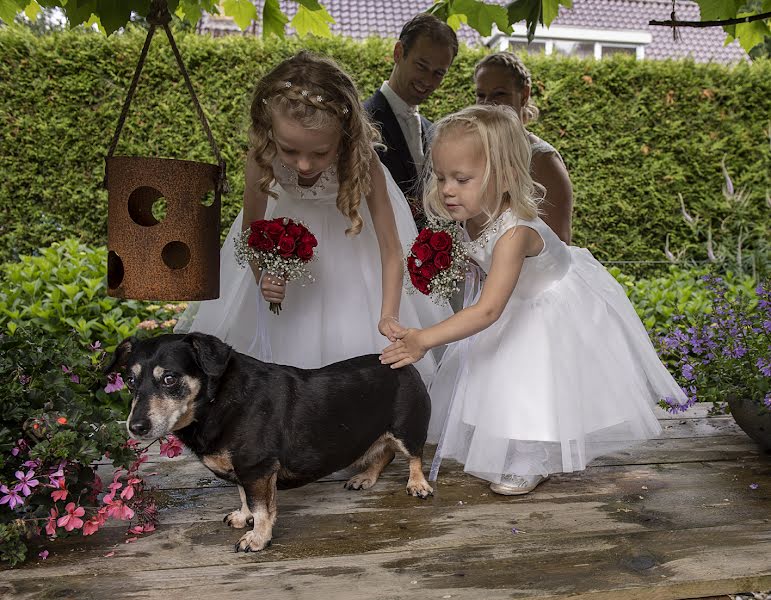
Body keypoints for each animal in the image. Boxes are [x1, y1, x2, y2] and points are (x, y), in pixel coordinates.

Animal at [106, 332, 438, 552]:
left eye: (170, 379)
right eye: (131, 381)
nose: (136, 427)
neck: (215, 403)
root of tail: (400, 361)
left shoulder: (257, 467)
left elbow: (262, 508)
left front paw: (257, 538)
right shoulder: (246, 470)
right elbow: (245, 497)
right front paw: (244, 518)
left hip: (407, 430)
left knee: (413, 456)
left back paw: (417, 484)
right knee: (383, 454)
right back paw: (365, 478)